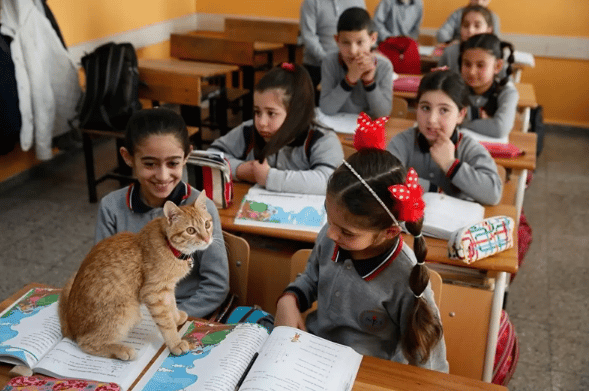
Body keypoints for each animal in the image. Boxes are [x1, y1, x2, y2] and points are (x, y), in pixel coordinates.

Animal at [57, 193, 212, 362]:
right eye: (190, 230)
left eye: (207, 224)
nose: (206, 239)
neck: (170, 247)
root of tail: (70, 326)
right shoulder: (153, 292)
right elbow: (165, 322)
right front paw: (175, 342)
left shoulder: (167, 288)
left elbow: (171, 305)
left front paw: (176, 317)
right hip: (127, 309)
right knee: (86, 342)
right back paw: (122, 350)